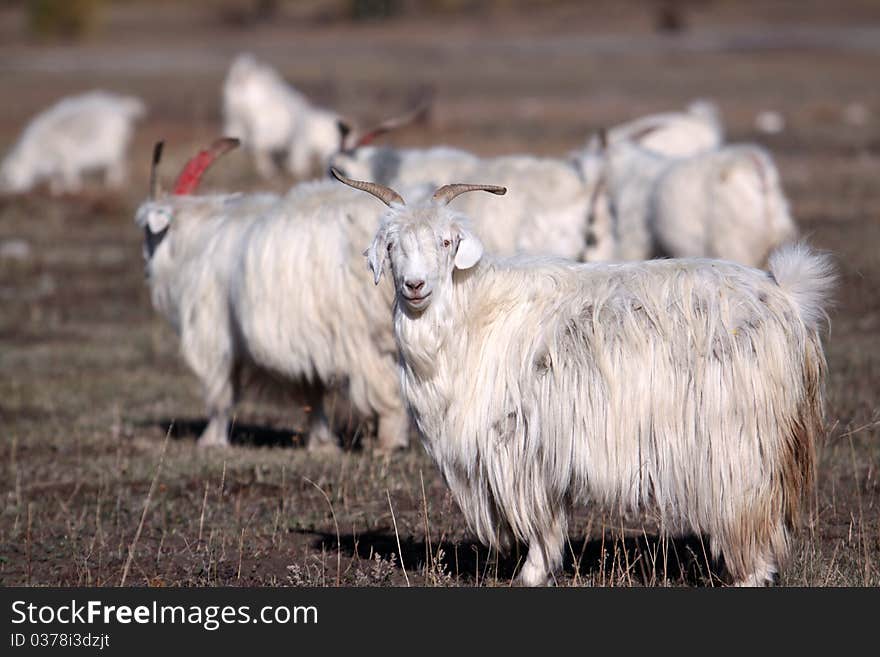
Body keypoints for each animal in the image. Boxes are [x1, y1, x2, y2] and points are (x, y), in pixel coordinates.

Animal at [136, 140, 410, 452]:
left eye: (148, 232)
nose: (145, 268)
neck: (195, 239)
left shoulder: (215, 336)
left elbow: (220, 392)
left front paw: (211, 440)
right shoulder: (307, 345)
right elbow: (312, 391)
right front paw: (321, 443)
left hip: (360, 336)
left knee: (384, 387)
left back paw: (387, 443)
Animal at [334, 172, 836, 588]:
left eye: (446, 242)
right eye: (392, 247)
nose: (415, 287)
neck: (473, 313)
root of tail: (786, 297)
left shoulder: (519, 445)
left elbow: (540, 521)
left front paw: (531, 575)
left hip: (737, 443)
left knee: (748, 511)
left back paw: (747, 576)